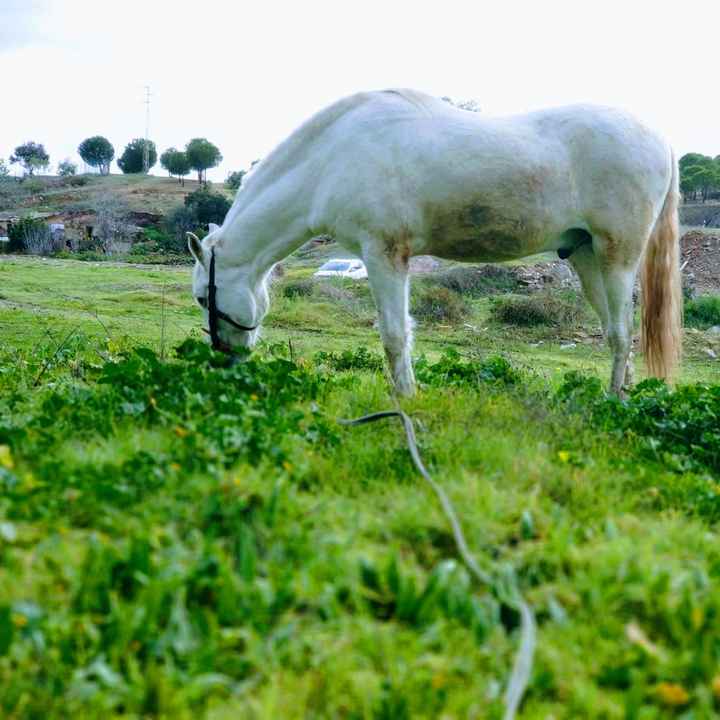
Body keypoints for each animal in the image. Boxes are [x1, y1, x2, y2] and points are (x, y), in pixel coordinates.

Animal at [187, 88, 680, 400]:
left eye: (201, 297)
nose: (224, 359)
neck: (331, 157)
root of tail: (660, 140)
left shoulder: (384, 254)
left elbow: (394, 334)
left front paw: (406, 398)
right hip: (585, 256)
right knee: (612, 332)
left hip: (618, 257)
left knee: (622, 334)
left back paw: (613, 401)